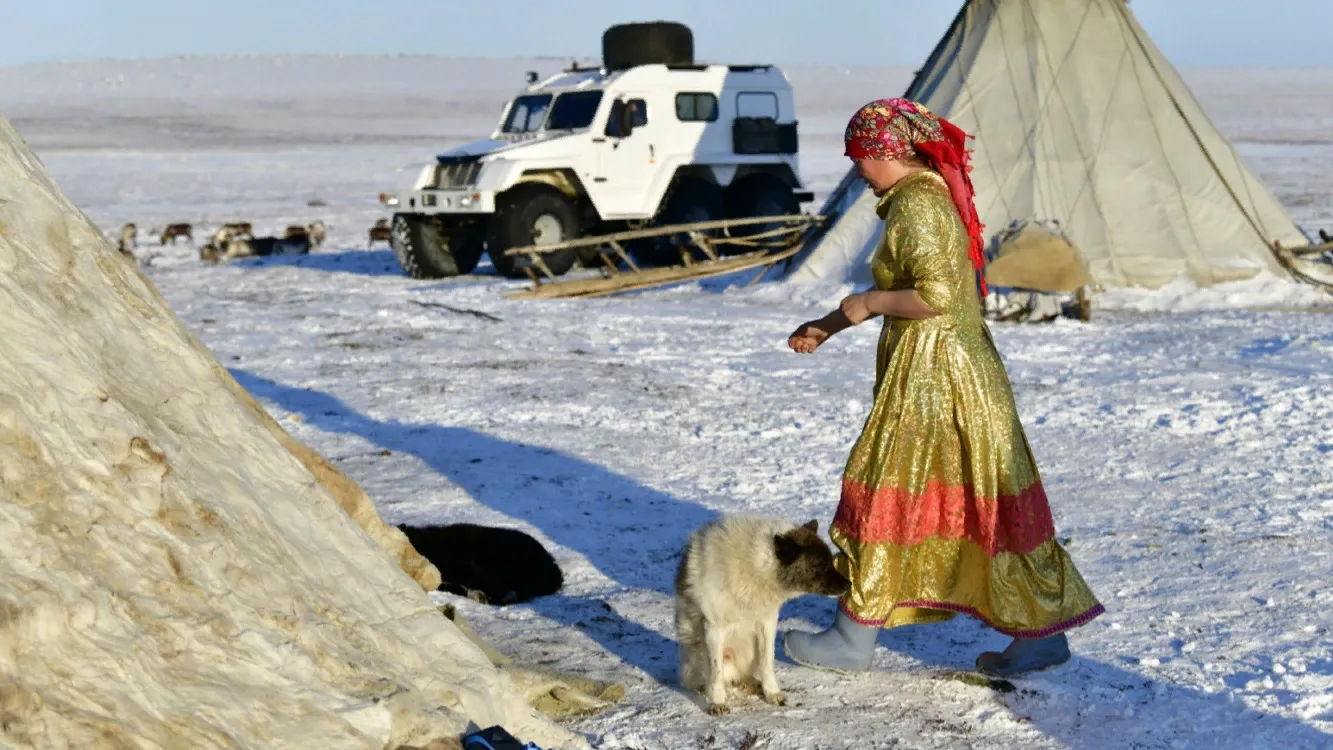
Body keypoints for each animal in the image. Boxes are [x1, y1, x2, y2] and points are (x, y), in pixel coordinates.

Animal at [671, 516, 847, 714]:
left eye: (830, 561)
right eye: (819, 565)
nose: (849, 584)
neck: (756, 567)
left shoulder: (767, 623)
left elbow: (767, 662)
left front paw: (772, 693)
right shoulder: (714, 629)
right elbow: (716, 674)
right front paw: (718, 703)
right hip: (706, 656)